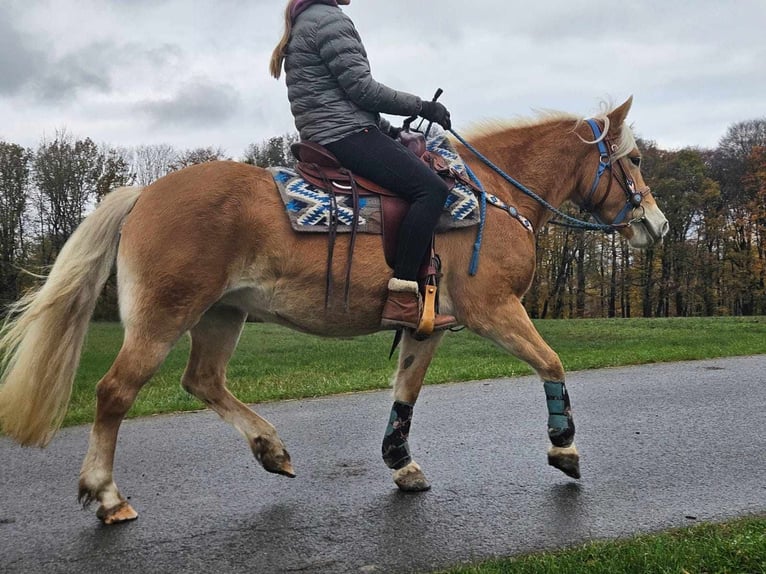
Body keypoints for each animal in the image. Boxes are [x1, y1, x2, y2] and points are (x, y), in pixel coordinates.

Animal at [0, 97, 668, 524]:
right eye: (633, 160)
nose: (657, 224)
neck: (492, 196)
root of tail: (146, 193)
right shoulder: (493, 310)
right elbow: (551, 362)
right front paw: (563, 447)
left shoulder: (427, 326)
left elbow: (406, 394)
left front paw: (401, 465)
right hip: (165, 317)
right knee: (115, 392)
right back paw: (108, 496)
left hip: (221, 314)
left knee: (203, 380)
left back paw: (270, 448)